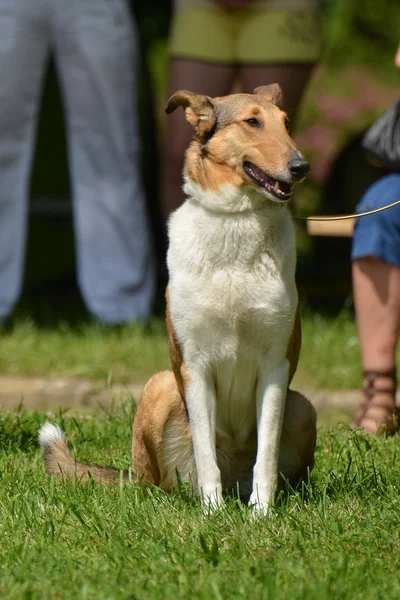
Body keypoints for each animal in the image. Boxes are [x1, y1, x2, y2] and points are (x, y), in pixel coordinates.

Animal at [39, 83, 316, 516]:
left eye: (287, 124)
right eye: (252, 121)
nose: (301, 167)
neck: (237, 223)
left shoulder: (275, 365)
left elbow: (267, 454)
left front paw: (261, 515)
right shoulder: (195, 367)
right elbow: (205, 453)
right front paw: (212, 514)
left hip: (303, 406)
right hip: (159, 389)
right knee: (161, 484)